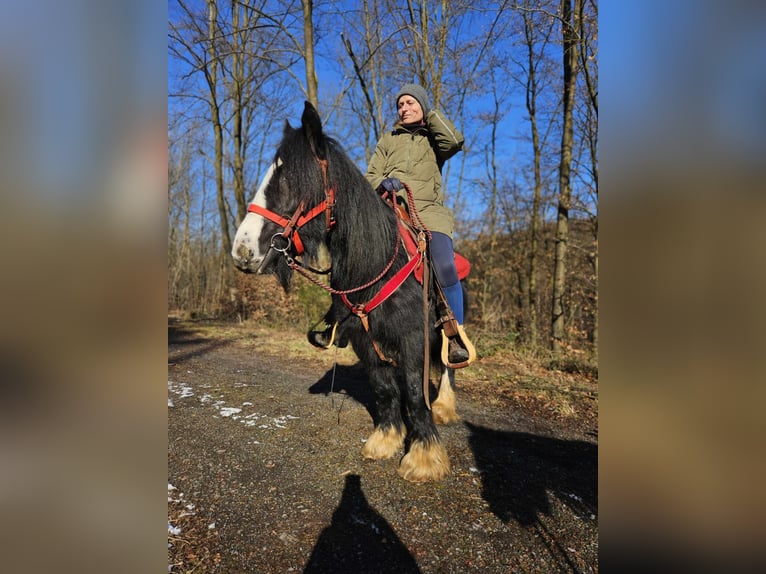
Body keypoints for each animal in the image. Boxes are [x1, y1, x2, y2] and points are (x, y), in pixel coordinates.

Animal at [231, 102, 460, 482]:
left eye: (289, 180)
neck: (379, 262)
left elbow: (414, 392)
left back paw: (443, 405)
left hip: (444, 331)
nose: (243, 251)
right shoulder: (364, 340)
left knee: (447, 364)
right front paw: (385, 440)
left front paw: (423, 457)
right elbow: (385, 389)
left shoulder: (414, 336)